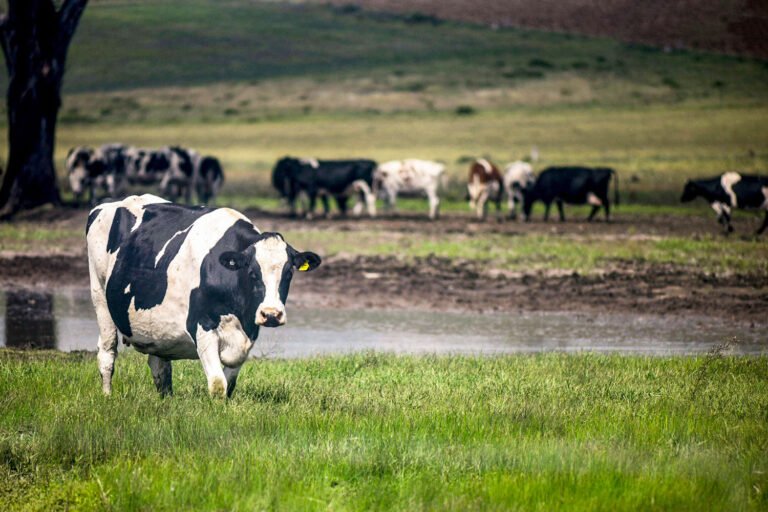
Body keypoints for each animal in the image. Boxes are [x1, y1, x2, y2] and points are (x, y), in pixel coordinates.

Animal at [86, 194, 321, 398]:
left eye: (289, 273)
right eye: (252, 273)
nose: (271, 314)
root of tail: (113, 201)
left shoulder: (248, 335)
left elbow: (230, 383)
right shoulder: (202, 326)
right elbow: (218, 384)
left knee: (160, 367)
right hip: (100, 295)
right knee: (107, 352)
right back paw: (107, 395)